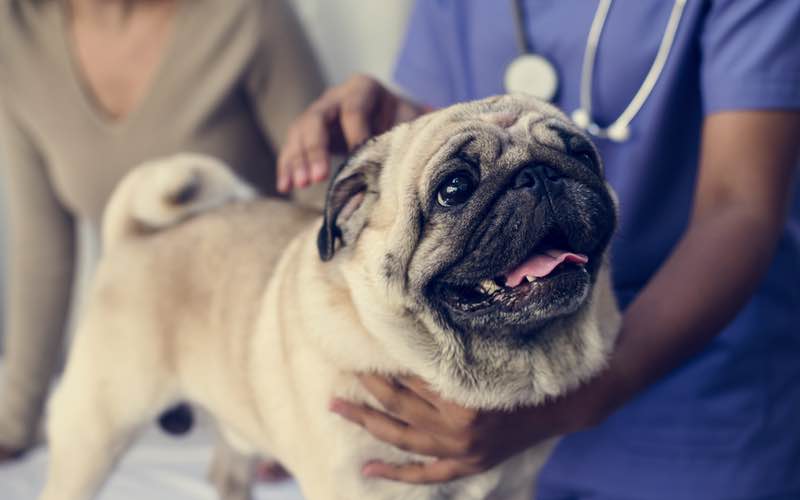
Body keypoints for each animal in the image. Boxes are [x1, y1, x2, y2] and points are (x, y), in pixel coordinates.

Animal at [40, 94, 620, 500]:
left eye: (583, 155)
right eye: (453, 188)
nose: (538, 173)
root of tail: (133, 237)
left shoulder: (515, 486)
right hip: (95, 432)